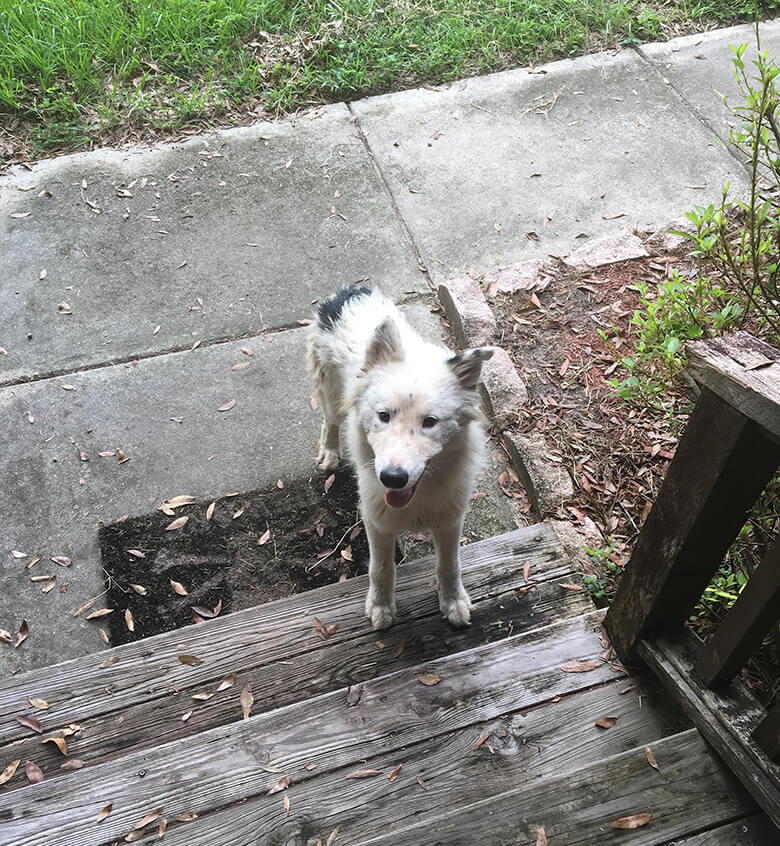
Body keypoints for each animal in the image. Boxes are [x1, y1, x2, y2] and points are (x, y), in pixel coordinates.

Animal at [306, 288, 494, 632]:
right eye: (384, 416)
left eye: (430, 422)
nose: (392, 478)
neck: (417, 497)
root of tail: (350, 292)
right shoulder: (377, 522)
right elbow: (381, 568)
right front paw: (381, 608)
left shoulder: (450, 520)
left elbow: (450, 564)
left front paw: (453, 602)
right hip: (331, 395)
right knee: (330, 422)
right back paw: (330, 453)